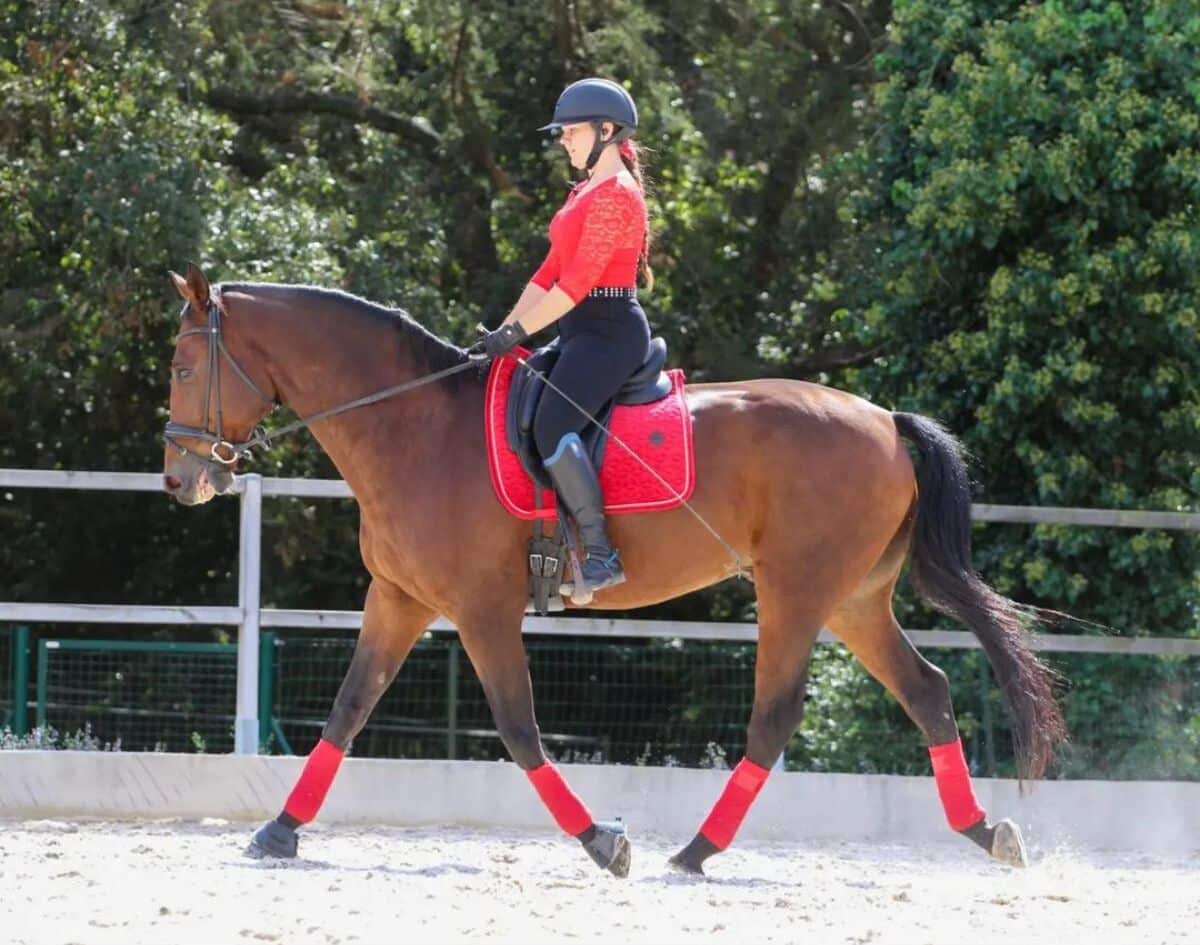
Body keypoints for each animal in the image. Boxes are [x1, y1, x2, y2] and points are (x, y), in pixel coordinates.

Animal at [162, 262, 1070, 873]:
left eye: (181, 366)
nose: (179, 479)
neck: (413, 424)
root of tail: (882, 419)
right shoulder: (399, 598)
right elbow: (347, 710)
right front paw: (278, 829)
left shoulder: (482, 608)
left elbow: (520, 727)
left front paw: (602, 839)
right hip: (853, 599)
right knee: (928, 691)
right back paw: (985, 830)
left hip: (797, 591)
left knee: (776, 716)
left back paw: (696, 850)